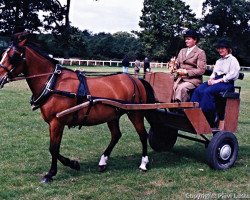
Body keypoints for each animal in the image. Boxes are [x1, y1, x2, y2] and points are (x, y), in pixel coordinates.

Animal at [0, 32, 154, 183]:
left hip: (135, 113)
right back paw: (103, 162)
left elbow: (53, 148)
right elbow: (54, 148)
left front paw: (52, 172)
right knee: (116, 135)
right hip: (113, 115)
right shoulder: (53, 123)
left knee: (142, 135)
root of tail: (135, 79)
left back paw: (143, 163)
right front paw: (72, 164)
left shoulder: (57, 122)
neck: (53, 83)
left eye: (13, 56)